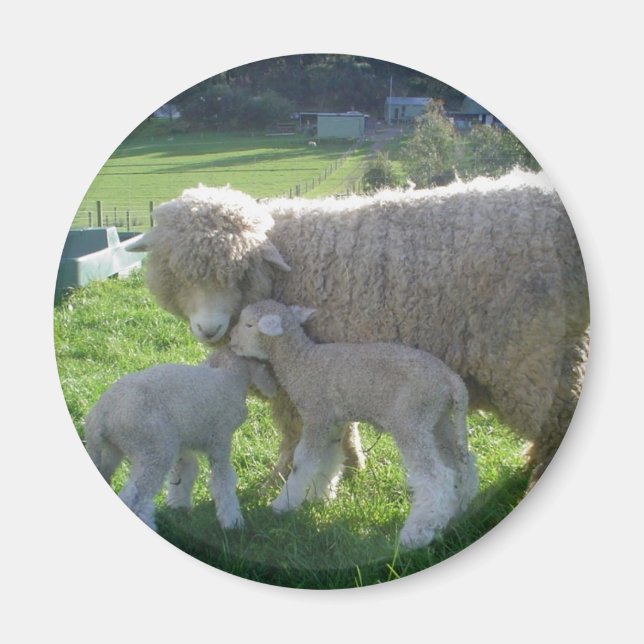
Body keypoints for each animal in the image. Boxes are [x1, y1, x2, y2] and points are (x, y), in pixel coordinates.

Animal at [83, 348, 276, 532]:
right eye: (264, 362)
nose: (274, 387)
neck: (231, 376)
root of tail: (100, 414)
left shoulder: (183, 441)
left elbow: (186, 471)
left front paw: (178, 505)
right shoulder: (220, 438)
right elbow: (223, 479)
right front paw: (232, 521)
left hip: (111, 449)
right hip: (154, 448)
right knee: (136, 497)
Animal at [127, 170, 590, 487]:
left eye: (239, 271)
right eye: (174, 272)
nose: (208, 328)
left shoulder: (295, 376)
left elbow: (294, 430)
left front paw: (284, 476)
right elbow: (337, 425)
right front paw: (349, 466)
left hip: (527, 353)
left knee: (557, 417)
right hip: (560, 348)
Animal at [229, 299, 479, 548]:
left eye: (248, 325)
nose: (231, 340)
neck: (301, 361)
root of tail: (453, 381)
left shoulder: (316, 414)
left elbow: (303, 461)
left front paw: (283, 504)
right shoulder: (332, 423)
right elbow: (328, 459)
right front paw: (319, 497)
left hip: (411, 419)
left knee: (437, 476)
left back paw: (416, 534)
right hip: (439, 420)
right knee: (462, 465)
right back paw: (457, 510)